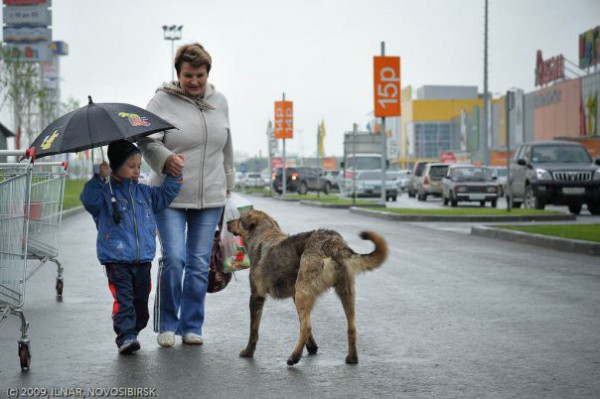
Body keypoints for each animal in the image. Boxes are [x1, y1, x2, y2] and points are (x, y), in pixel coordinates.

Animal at [226, 209, 390, 366]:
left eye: (239, 219)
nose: (227, 222)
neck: (264, 233)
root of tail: (332, 242)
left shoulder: (256, 296)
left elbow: (253, 330)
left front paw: (248, 351)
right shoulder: (294, 296)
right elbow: (302, 324)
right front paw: (312, 348)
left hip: (303, 292)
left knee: (306, 327)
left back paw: (294, 357)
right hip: (344, 293)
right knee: (351, 328)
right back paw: (352, 357)